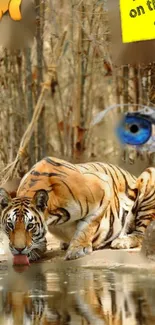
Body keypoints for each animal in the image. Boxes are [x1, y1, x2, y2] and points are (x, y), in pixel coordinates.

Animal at [0, 155, 151, 264]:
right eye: (10, 225)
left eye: (30, 226)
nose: (19, 250)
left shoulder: (103, 186)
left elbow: (88, 225)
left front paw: (78, 249)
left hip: (148, 176)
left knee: (141, 233)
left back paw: (123, 241)